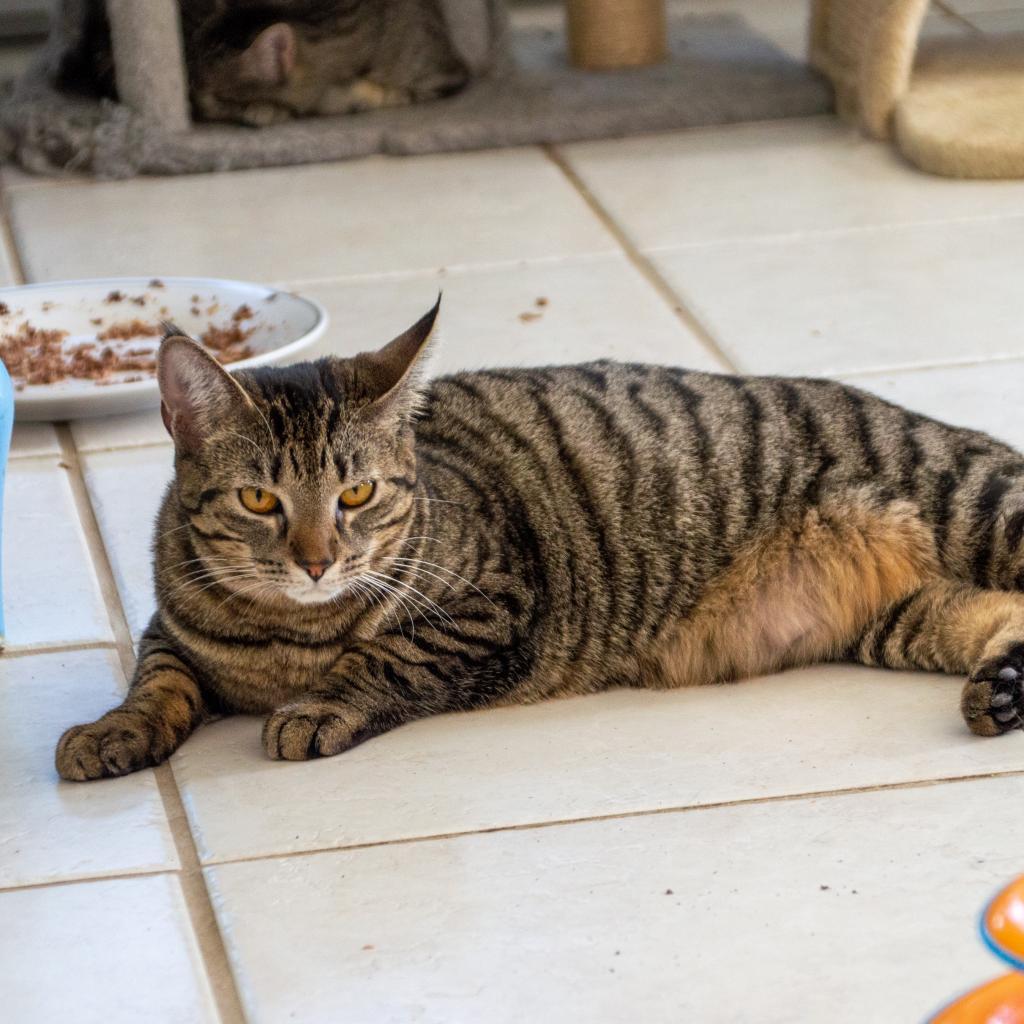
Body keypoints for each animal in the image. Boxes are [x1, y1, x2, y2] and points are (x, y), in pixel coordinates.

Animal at [58, 299, 1024, 778]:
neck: (288, 635)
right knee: (999, 617)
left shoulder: (490, 605)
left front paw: (319, 705)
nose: (317, 560)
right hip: (903, 619)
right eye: (260, 499)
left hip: (978, 507)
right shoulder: (168, 628)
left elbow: (380, 661)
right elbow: (159, 682)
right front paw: (115, 730)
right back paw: (1004, 689)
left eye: (356, 492)